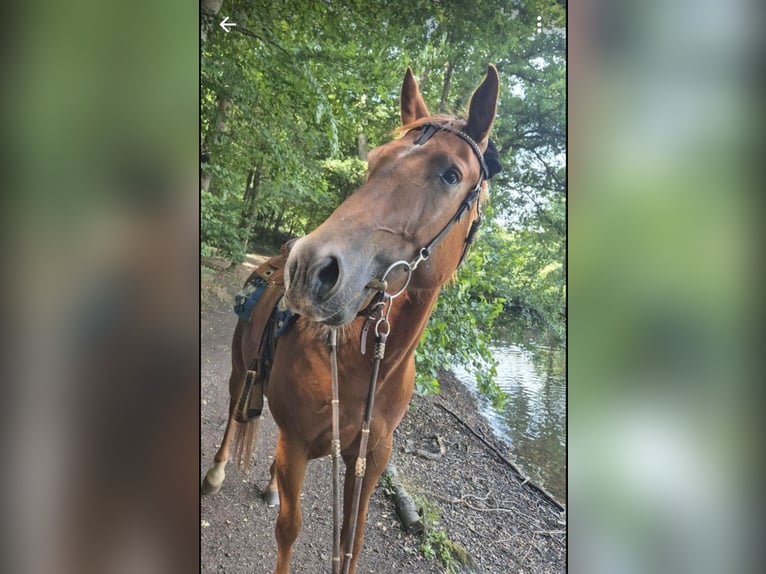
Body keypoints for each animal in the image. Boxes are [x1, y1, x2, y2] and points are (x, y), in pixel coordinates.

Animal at [202, 64, 500, 574]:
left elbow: (351, 541)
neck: (364, 365)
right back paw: (217, 471)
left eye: (450, 174)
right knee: (233, 409)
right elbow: (289, 530)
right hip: (241, 368)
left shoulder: (372, 458)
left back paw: (268, 483)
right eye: (374, 161)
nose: (309, 267)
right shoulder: (297, 445)